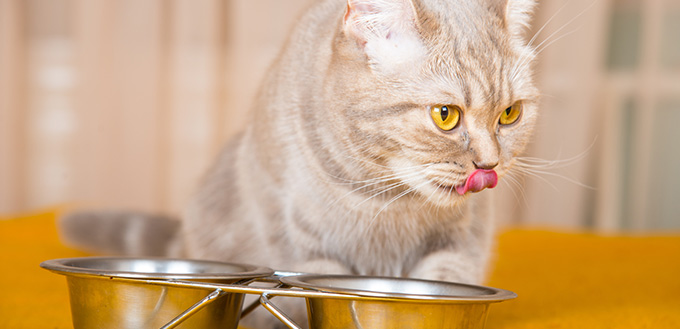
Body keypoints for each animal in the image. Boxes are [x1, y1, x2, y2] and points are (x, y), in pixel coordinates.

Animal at [62, 0, 540, 324]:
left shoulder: (461, 244)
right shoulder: (303, 248)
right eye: (446, 115)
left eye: (509, 114)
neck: (385, 200)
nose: (490, 165)